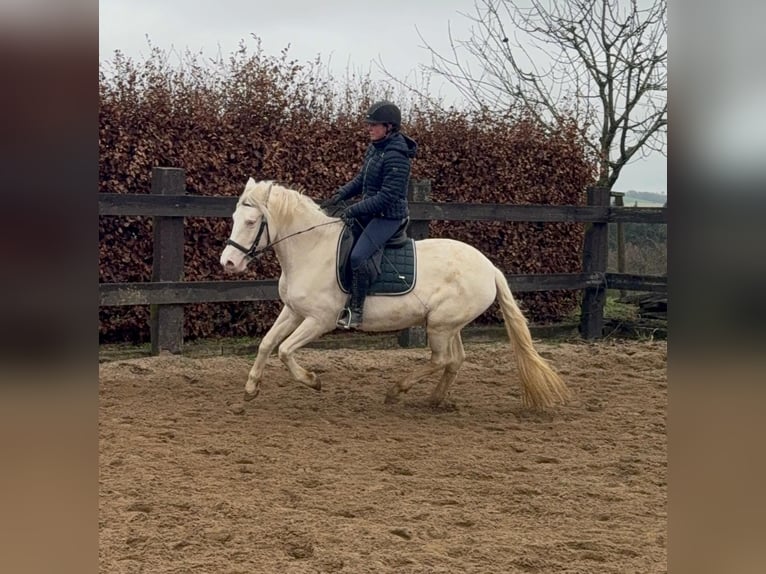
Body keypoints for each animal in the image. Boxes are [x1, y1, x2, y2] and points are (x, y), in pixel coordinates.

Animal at [219, 179, 571, 410]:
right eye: (235, 218)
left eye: (251, 222)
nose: (228, 262)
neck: (311, 249)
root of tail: (490, 268)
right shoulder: (293, 311)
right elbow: (267, 344)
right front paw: (250, 388)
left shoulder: (319, 320)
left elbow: (285, 350)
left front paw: (312, 380)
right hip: (449, 325)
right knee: (455, 360)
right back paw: (434, 399)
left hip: (440, 325)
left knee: (441, 359)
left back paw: (397, 390)